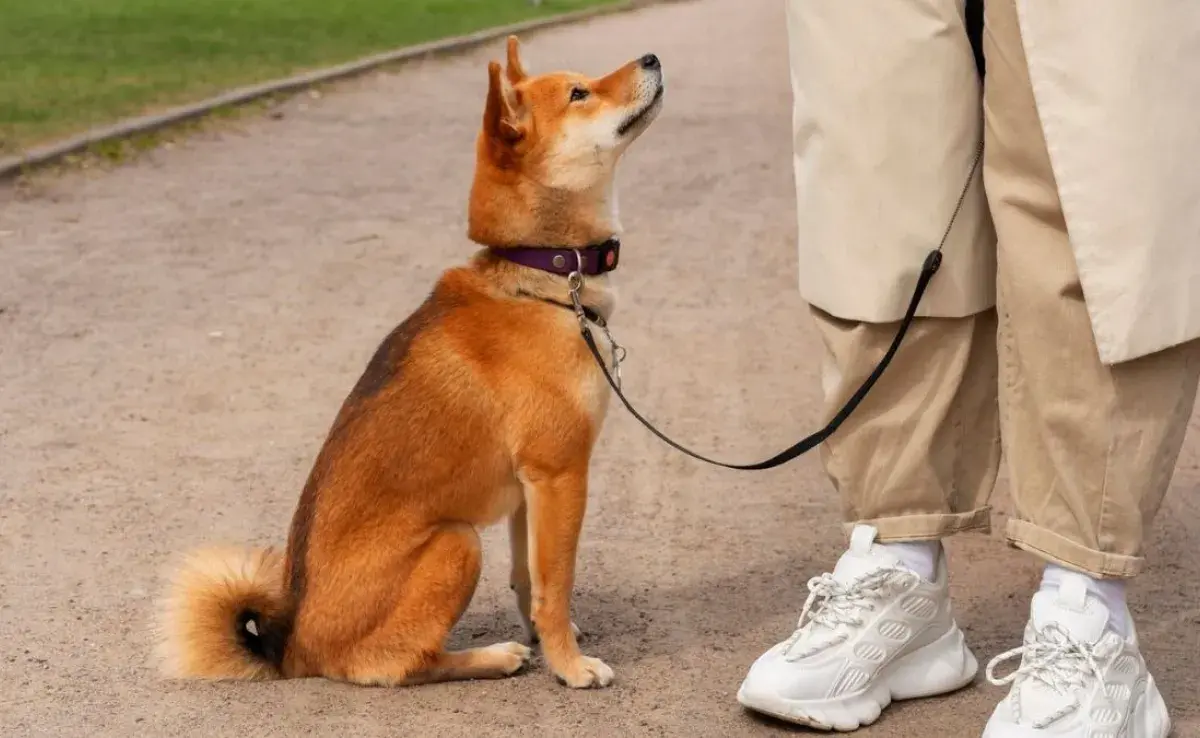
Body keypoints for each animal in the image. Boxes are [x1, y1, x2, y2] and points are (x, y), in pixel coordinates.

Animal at [153, 37, 662, 691]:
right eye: (580, 93)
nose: (651, 58)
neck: (542, 278)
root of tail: (290, 649)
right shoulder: (560, 473)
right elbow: (556, 586)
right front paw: (569, 666)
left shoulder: (530, 491)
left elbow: (529, 582)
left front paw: (551, 642)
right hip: (457, 542)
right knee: (394, 663)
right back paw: (488, 658)